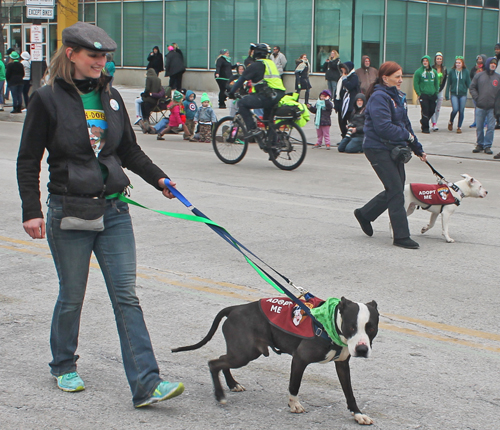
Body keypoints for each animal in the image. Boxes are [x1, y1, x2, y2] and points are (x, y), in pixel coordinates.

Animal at [172, 296, 378, 424]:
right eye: (351, 327)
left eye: (371, 328)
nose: (361, 349)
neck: (329, 326)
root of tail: (236, 308)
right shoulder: (300, 359)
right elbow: (294, 385)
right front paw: (294, 404)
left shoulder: (342, 365)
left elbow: (349, 392)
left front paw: (358, 414)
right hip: (243, 353)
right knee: (214, 363)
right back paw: (220, 394)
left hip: (242, 352)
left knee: (222, 360)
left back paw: (232, 384)